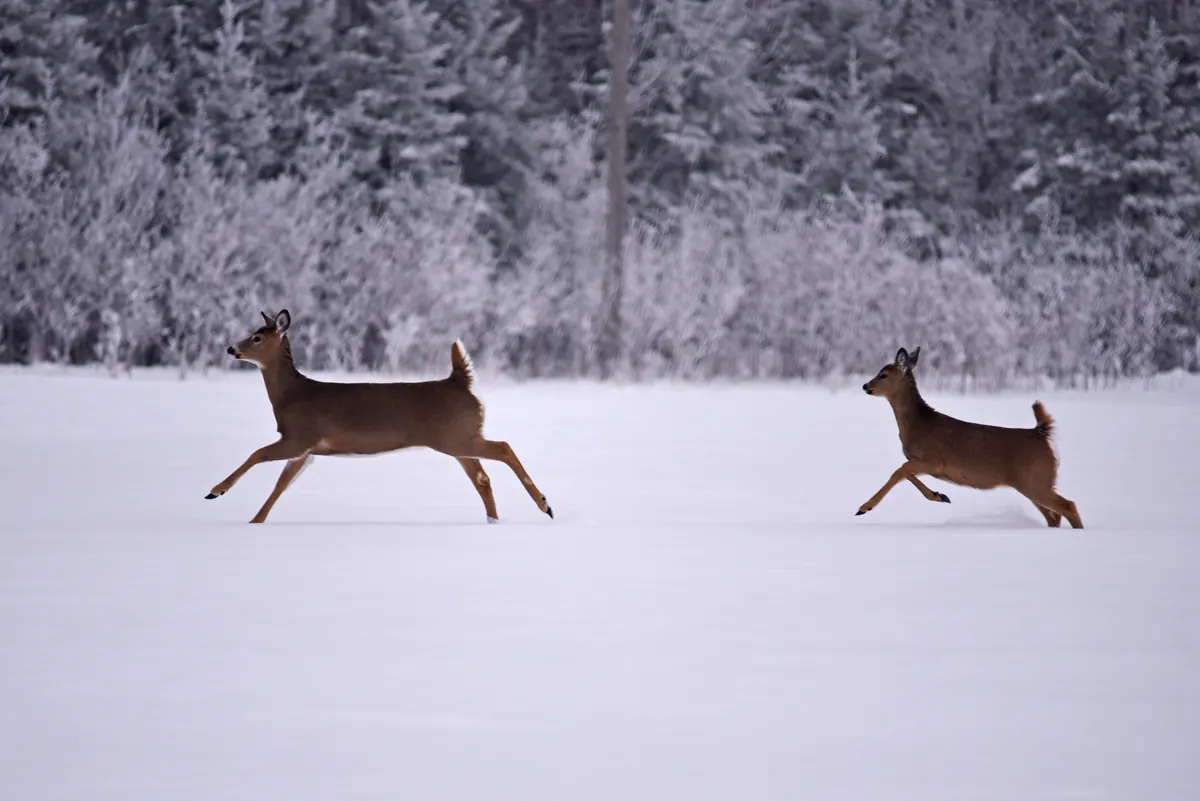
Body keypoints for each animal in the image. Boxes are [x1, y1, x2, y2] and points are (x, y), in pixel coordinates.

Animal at [204, 309, 554, 525]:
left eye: (257, 338)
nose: (231, 349)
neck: (291, 396)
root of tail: (461, 381)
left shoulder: (299, 436)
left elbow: (258, 454)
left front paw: (216, 490)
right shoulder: (307, 449)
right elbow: (281, 484)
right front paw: (255, 521)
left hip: (456, 436)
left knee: (504, 447)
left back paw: (544, 504)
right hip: (458, 438)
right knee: (482, 477)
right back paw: (494, 520)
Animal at [857, 346, 1083, 528]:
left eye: (883, 374)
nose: (865, 386)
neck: (918, 425)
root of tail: (1040, 433)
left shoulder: (934, 460)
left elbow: (899, 471)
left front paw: (864, 507)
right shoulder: (922, 462)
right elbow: (906, 472)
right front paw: (940, 496)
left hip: (1034, 480)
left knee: (1068, 506)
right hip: (1033, 482)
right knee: (1054, 516)